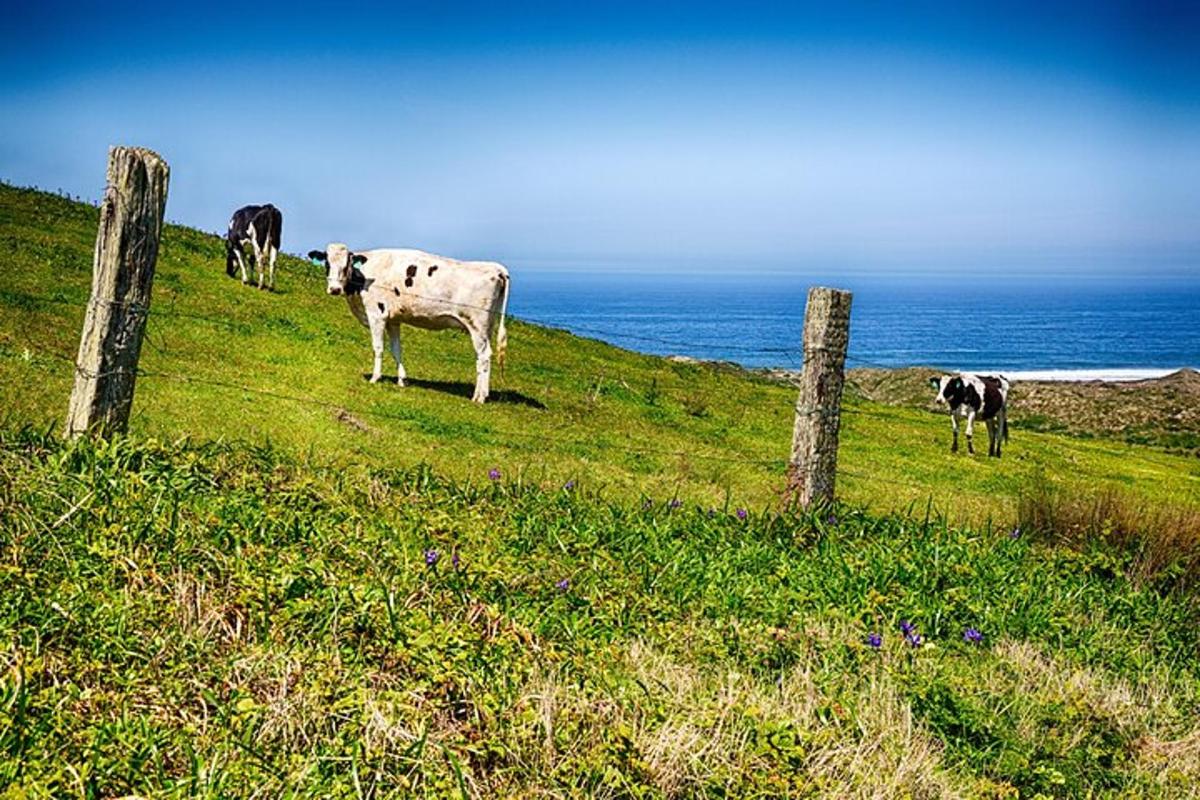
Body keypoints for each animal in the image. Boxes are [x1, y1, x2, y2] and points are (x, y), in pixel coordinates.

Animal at [307, 242, 508, 407]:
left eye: (346, 265)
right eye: (327, 264)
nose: (335, 289)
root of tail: (496, 269)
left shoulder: (376, 314)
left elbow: (378, 347)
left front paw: (375, 377)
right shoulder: (393, 319)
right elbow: (396, 349)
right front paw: (402, 380)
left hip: (477, 325)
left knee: (484, 356)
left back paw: (480, 397)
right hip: (486, 327)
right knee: (481, 357)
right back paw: (480, 393)